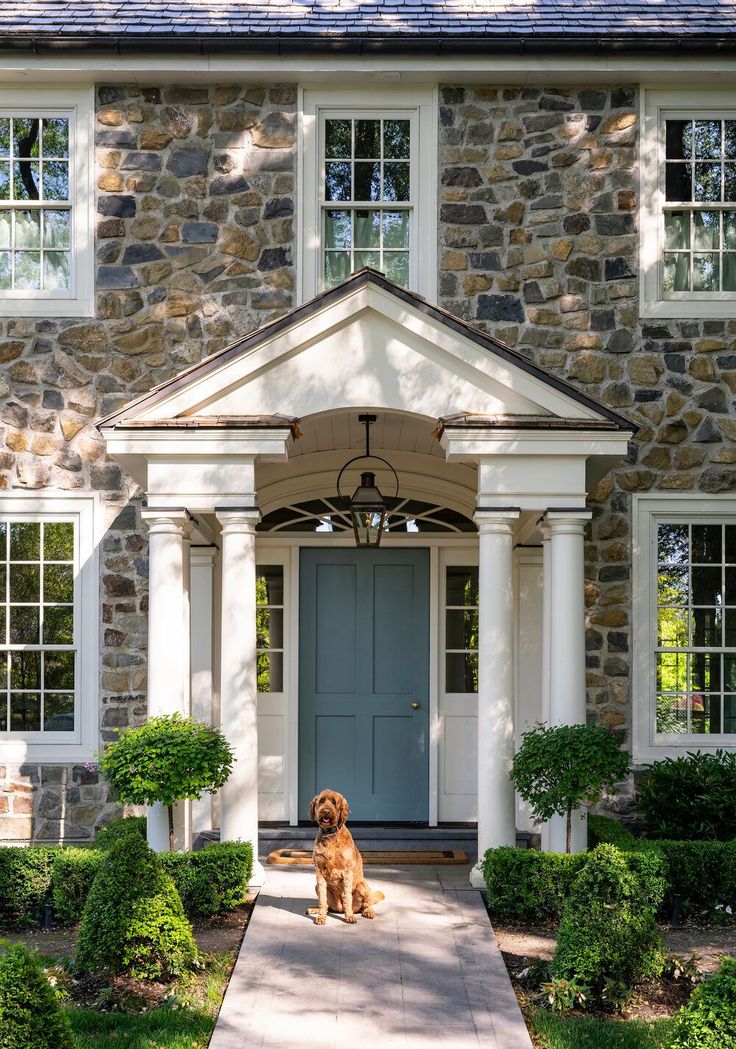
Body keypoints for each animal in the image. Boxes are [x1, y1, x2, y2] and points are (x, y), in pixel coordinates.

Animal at [306, 788, 385, 927]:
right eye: (321, 801)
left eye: (334, 802)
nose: (326, 811)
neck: (330, 835)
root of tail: (340, 909)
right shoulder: (319, 873)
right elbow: (322, 900)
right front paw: (321, 916)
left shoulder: (347, 872)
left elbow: (347, 896)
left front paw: (349, 916)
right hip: (317, 887)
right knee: (327, 906)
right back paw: (315, 909)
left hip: (363, 887)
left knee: (365, 904)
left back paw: (367, 911)